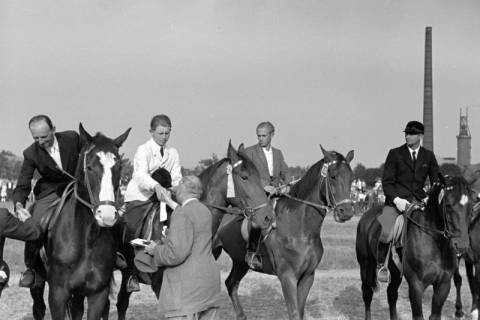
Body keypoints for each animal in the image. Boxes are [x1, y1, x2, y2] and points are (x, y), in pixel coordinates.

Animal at [44, 124, 130, 318]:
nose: (106, 215)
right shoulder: (57, 294)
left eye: (119, 167)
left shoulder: (97, 293)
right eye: (89, 167)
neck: (86, 239)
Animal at [214, 146, 356, 318]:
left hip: (240, 262)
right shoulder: (288, 277)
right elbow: (294, 313)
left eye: (351, 178)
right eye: (333, 176)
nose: (346, 212)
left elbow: (300, 312)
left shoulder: (308, 277)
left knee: (231, 284)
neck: (300, 230)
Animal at [356, 175, 472, 320]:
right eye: (449, 205)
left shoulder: (443, 285)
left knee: (391, 294)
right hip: (366, 266)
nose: (461, 245)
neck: (435, 243)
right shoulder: (416, 285)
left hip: (395, 273)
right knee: (367, 294)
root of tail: (367, 215)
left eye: (470, 206)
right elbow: (418, 315)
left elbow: (435, 314)